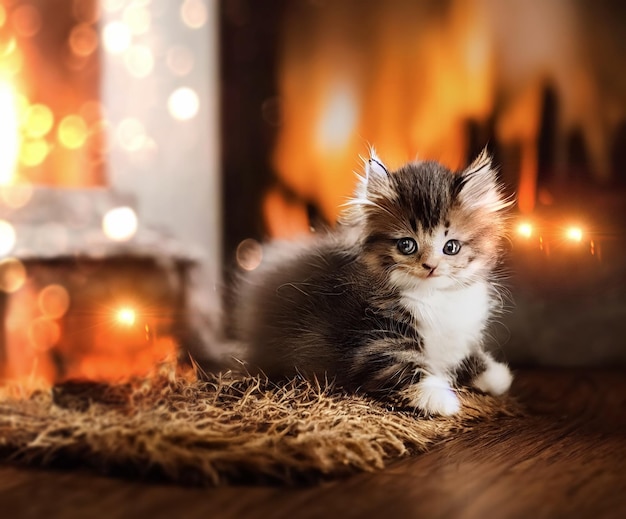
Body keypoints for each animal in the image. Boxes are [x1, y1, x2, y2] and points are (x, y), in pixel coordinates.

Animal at [234, 148, 512, 416]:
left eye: (451, 247)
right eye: (407, 245)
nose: (430, 266)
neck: (433, 295)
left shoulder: (457, 331)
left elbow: (466, 351)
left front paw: (495, 374)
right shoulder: (372, 341)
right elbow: (404, 366)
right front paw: (440, 398)